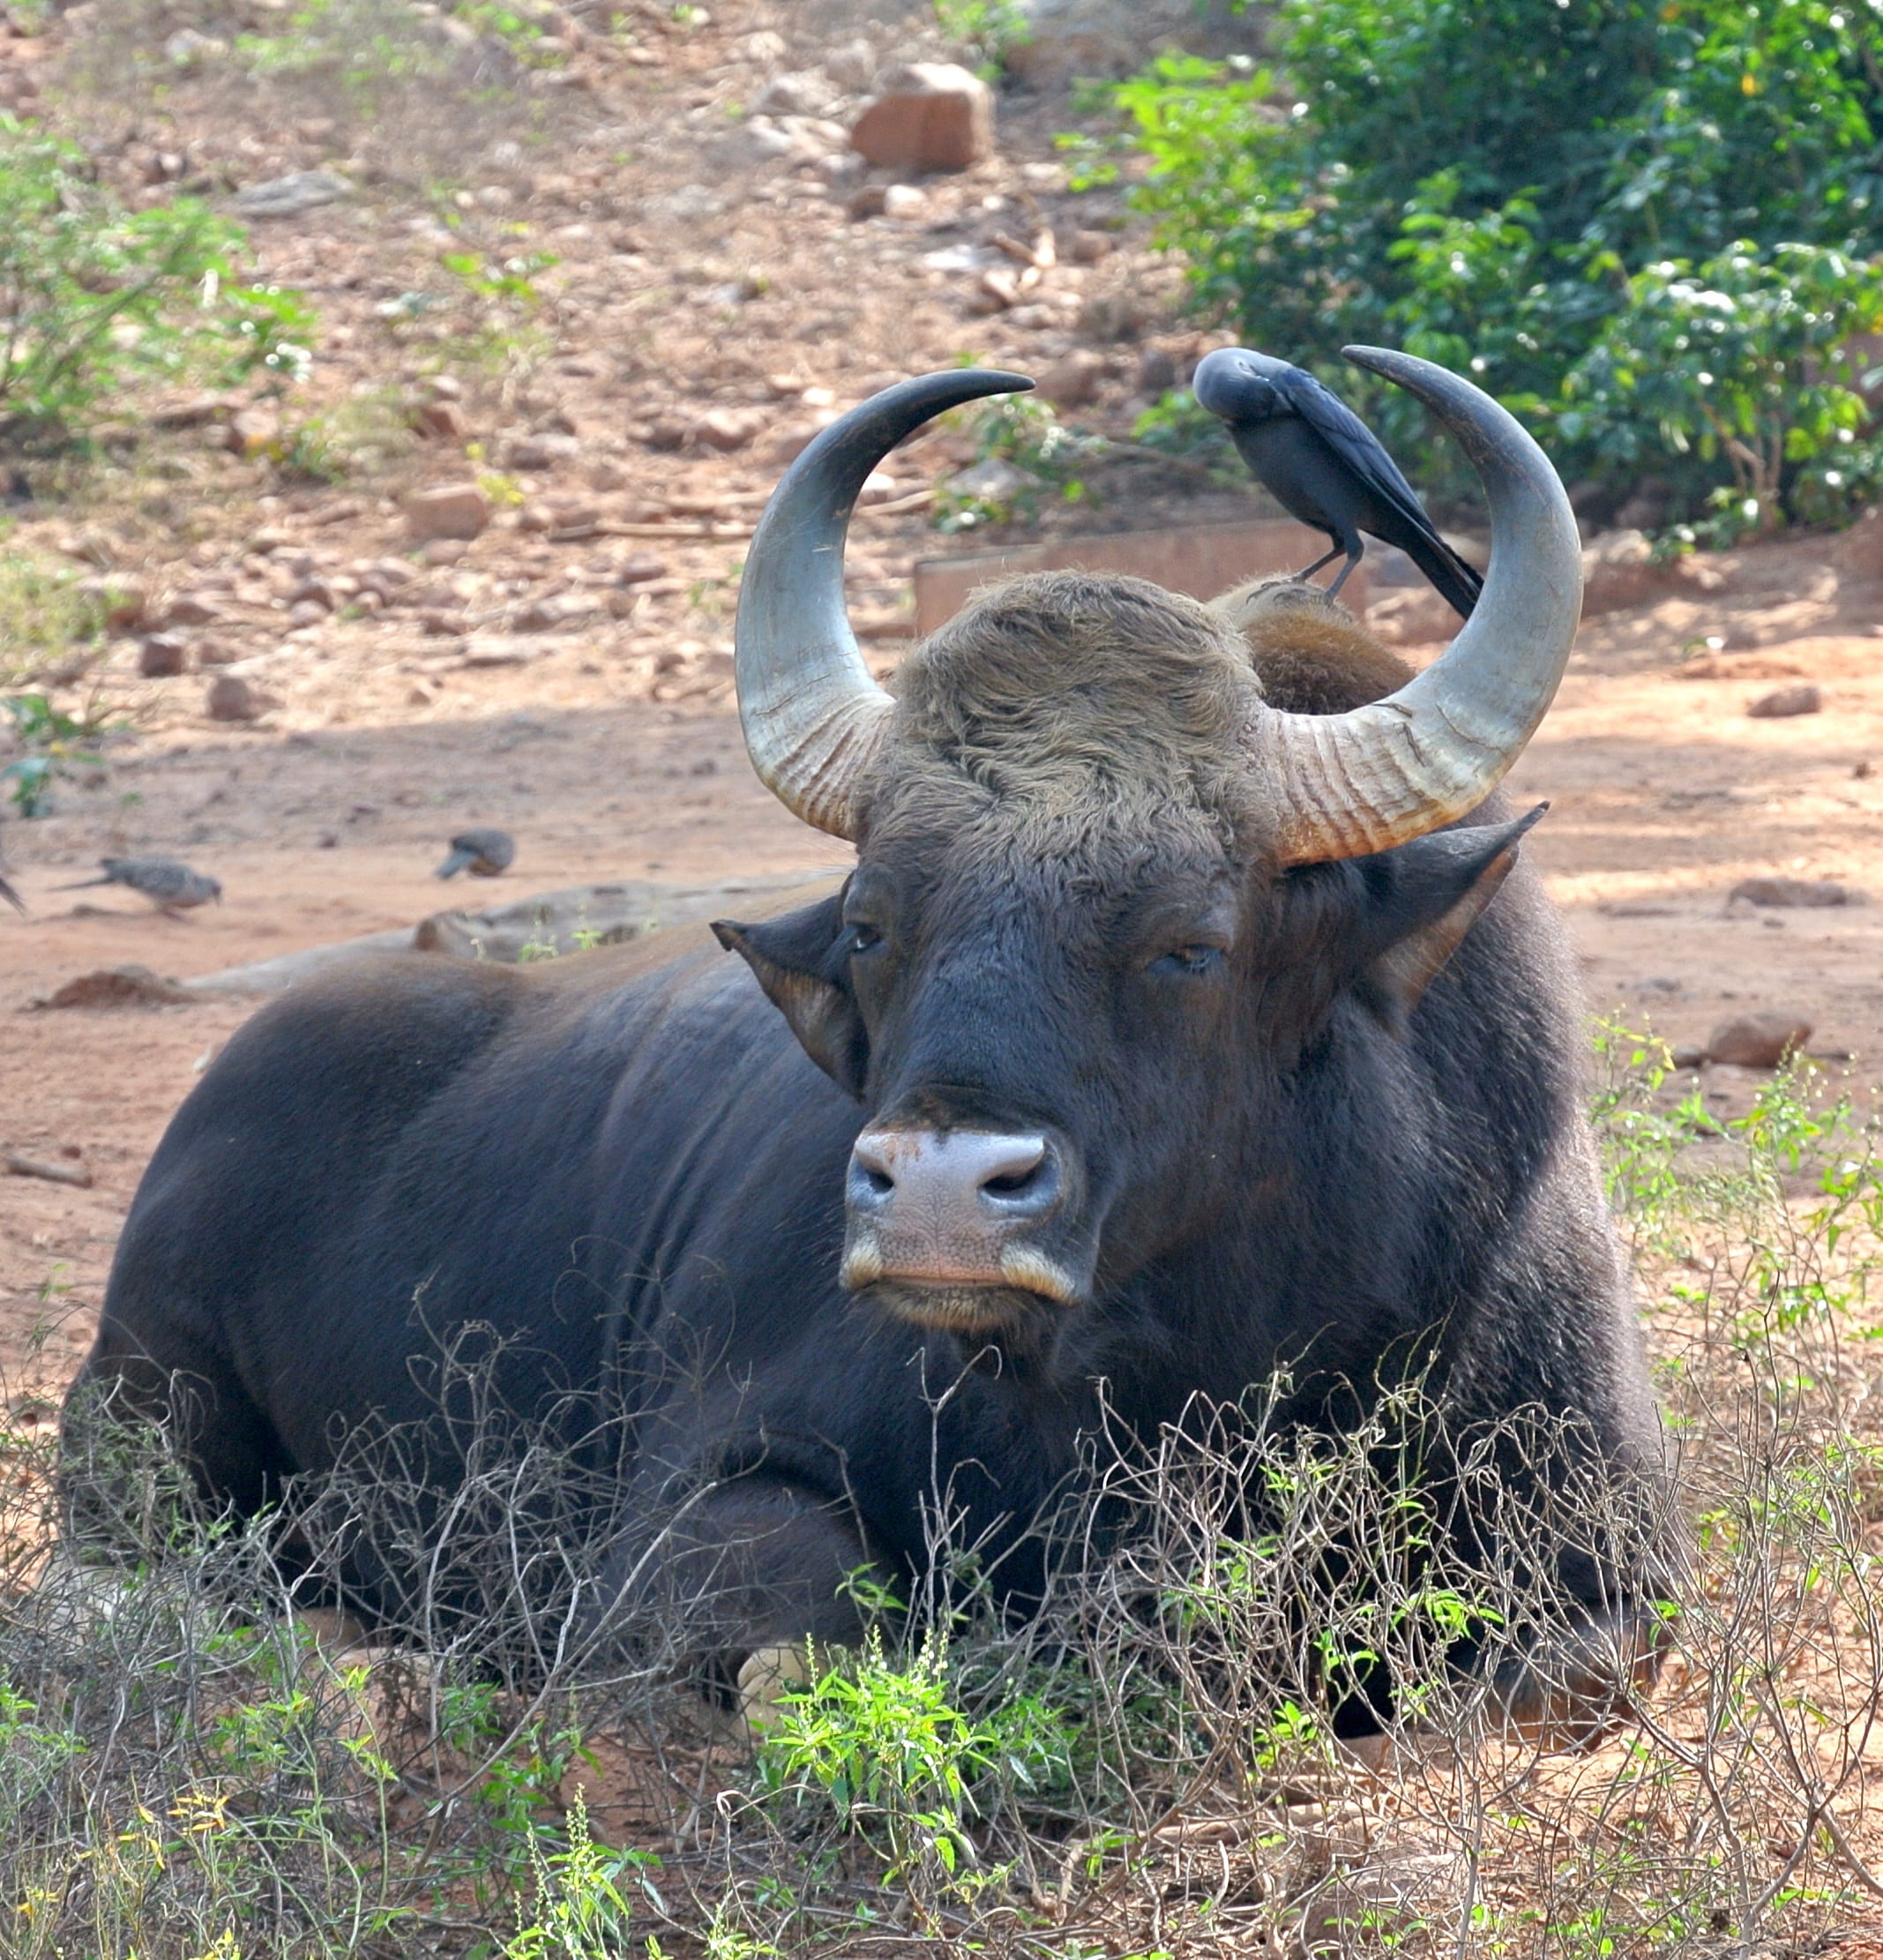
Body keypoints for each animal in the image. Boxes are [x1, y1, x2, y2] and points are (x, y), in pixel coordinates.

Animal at [62, 353, 1670, 1738]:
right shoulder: (674, 1520)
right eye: (875, 922)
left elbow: (1542, 1676)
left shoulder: (1609, 1569)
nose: (945, 1198)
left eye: (1190, 943)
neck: (1195, 1371)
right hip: (143, 1422)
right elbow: (803, 1633)